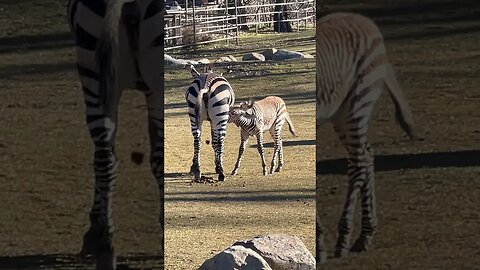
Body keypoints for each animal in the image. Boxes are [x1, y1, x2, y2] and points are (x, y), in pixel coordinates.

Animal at [316, 13, 416, 262]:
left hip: (358, 100)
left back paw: (344, 240)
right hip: (342, 113)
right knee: (366, 155)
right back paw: (365, 235)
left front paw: (319, 245)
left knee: (359, 162)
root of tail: (363, 20)